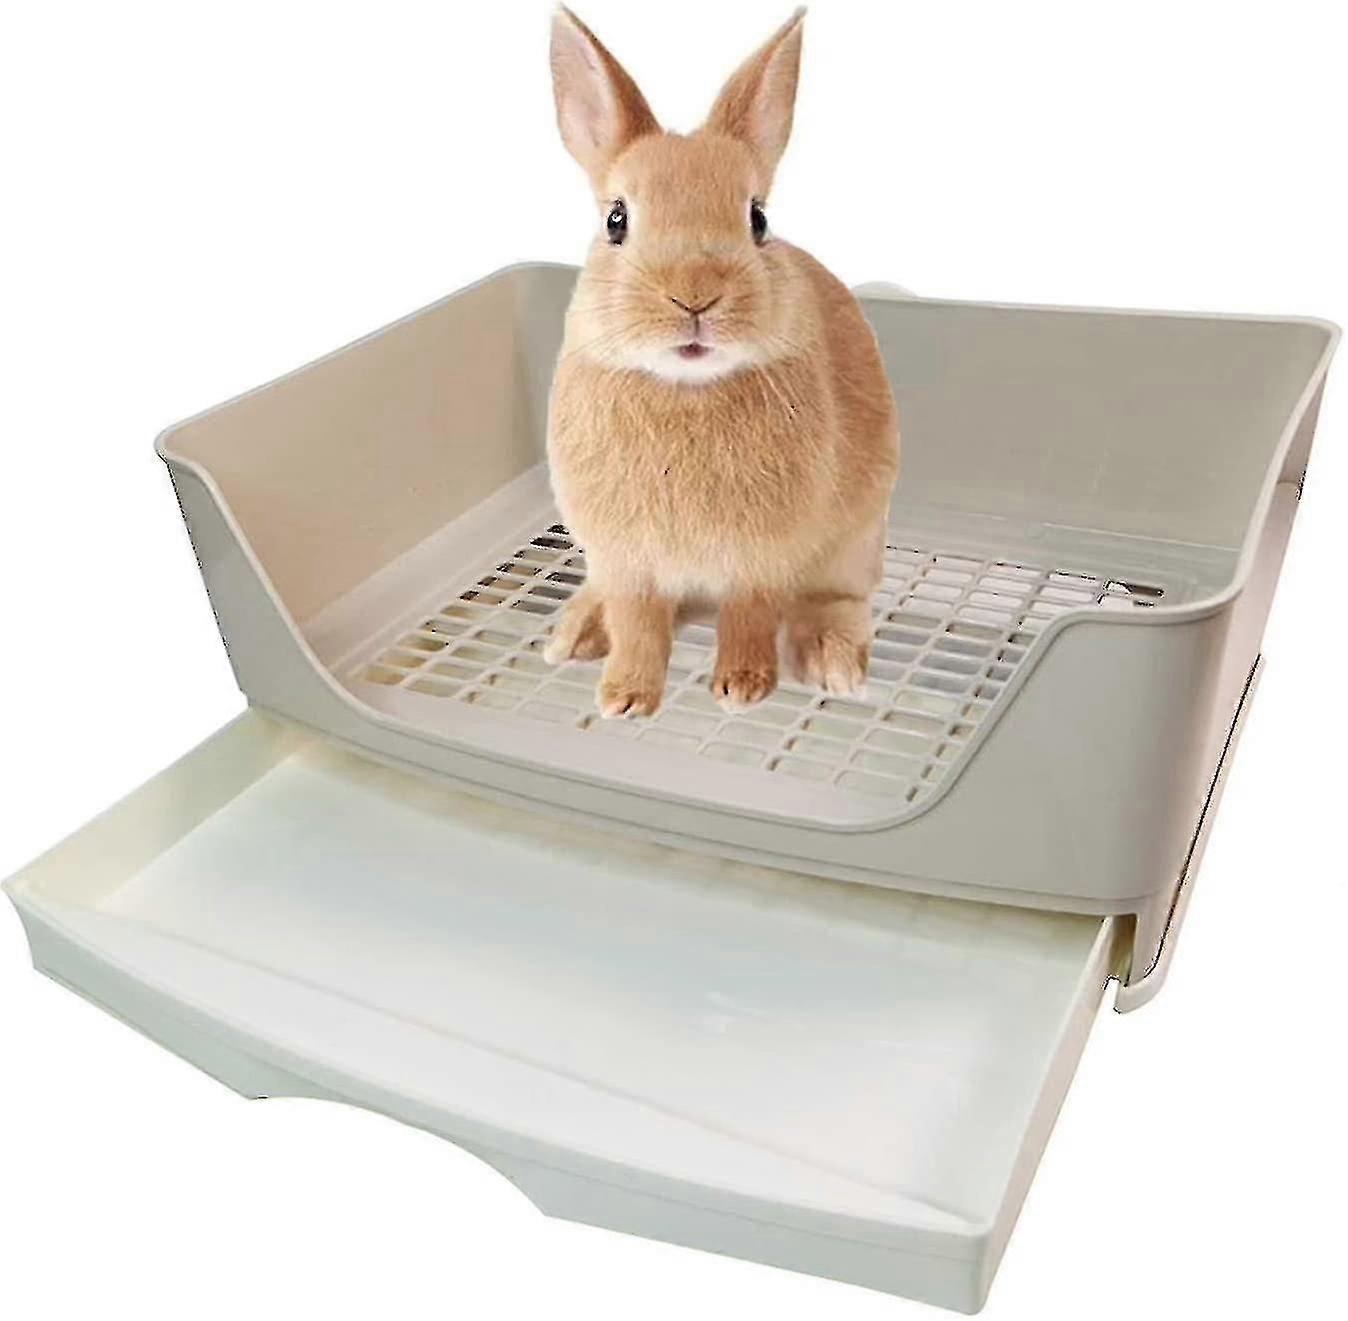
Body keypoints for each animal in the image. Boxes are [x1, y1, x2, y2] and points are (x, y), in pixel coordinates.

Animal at [544, 7, 899, 718]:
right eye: (616, 220)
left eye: (758, 218)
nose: (694, 295)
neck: (685, 388)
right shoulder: (627, 564)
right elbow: (638, 626)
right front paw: (624, 697)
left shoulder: (760, 562)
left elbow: (749, 617)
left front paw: (742, 687)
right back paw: (576, 631)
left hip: (854, 544)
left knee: (834, 601)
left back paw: (832, 661)